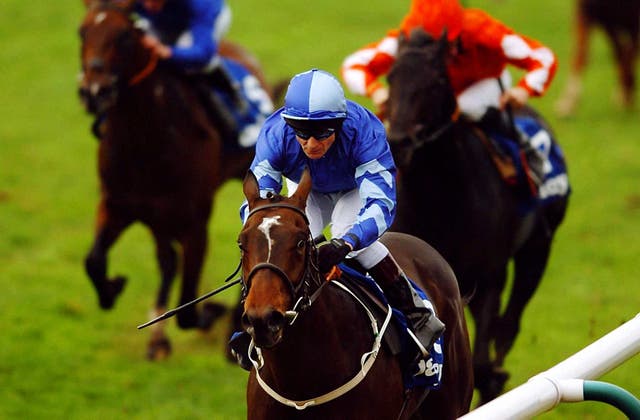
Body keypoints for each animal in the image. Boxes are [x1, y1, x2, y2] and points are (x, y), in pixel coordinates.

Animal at [77, 0, 280, 360]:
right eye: (82, 32)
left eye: (125, 36)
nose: (93, 91)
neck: (143, 140)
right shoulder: (118, 205)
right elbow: (94, 261)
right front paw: (113, 288)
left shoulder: (194, 225)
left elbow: (188, 310)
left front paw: (216, 313)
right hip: (156, 216)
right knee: (167, 260)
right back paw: (158, 336)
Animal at [384, 29, 568, 404]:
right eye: (392, 76)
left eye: (438, 81)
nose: (399, 142)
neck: (439, 203)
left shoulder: (488, 278)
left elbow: (483, 363)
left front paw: (496, 377)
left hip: (537, 251)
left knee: (509, 325)